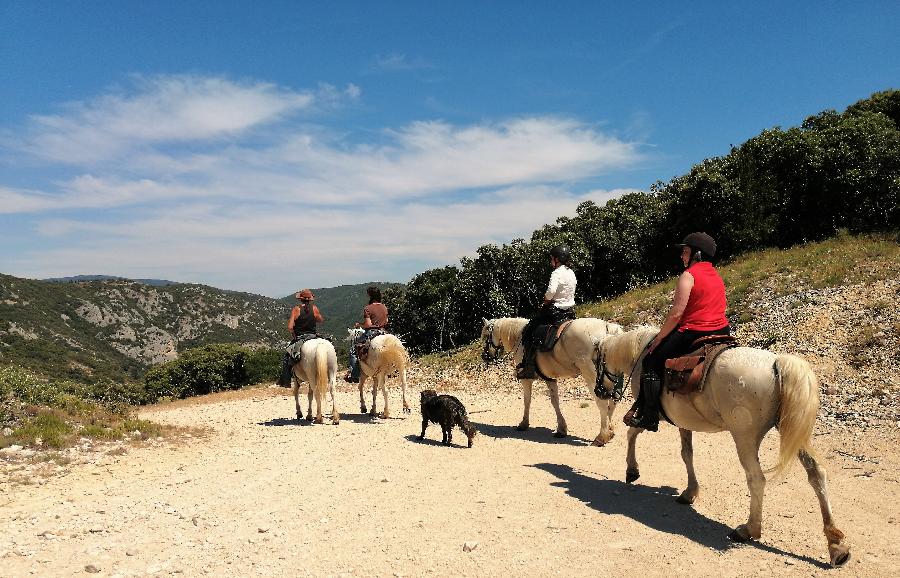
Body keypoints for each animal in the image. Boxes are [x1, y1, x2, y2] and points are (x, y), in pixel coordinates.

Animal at [482, 316, 624, 440]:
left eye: (485, 335)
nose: (485, 356)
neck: (518, 336)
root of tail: (606, 327)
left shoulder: (526, 380)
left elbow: (527, 401)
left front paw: (524, 423)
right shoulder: (549, 378)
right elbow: (555, 401)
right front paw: (561, 429)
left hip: (591, 375)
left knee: (602, 402)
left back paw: (602, 436)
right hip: (609, 378)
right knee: (614, 400)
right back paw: (610, 430)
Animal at [596, 326, 852, 564]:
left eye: (597, 360)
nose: (600, 391)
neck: (641, 352)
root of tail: (777, 362)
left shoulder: (651, 415)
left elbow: (632, 432)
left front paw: (631, 470)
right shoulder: (683, 421)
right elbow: (686, 453)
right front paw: (689, 492)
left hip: (745, 437)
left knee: (756, 479)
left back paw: (748, 530)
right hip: (792, 432)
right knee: (816, 473)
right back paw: (836, 545)